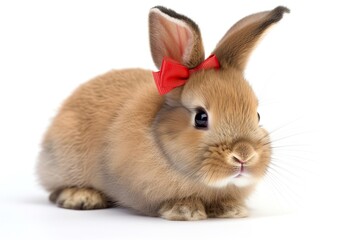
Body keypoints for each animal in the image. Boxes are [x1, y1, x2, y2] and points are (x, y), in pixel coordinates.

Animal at [36, 5, 290, 220]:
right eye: (201, 117)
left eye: (257, 116)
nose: (243, 155)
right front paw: (185, 211)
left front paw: (231, 210)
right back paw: (81, 197)